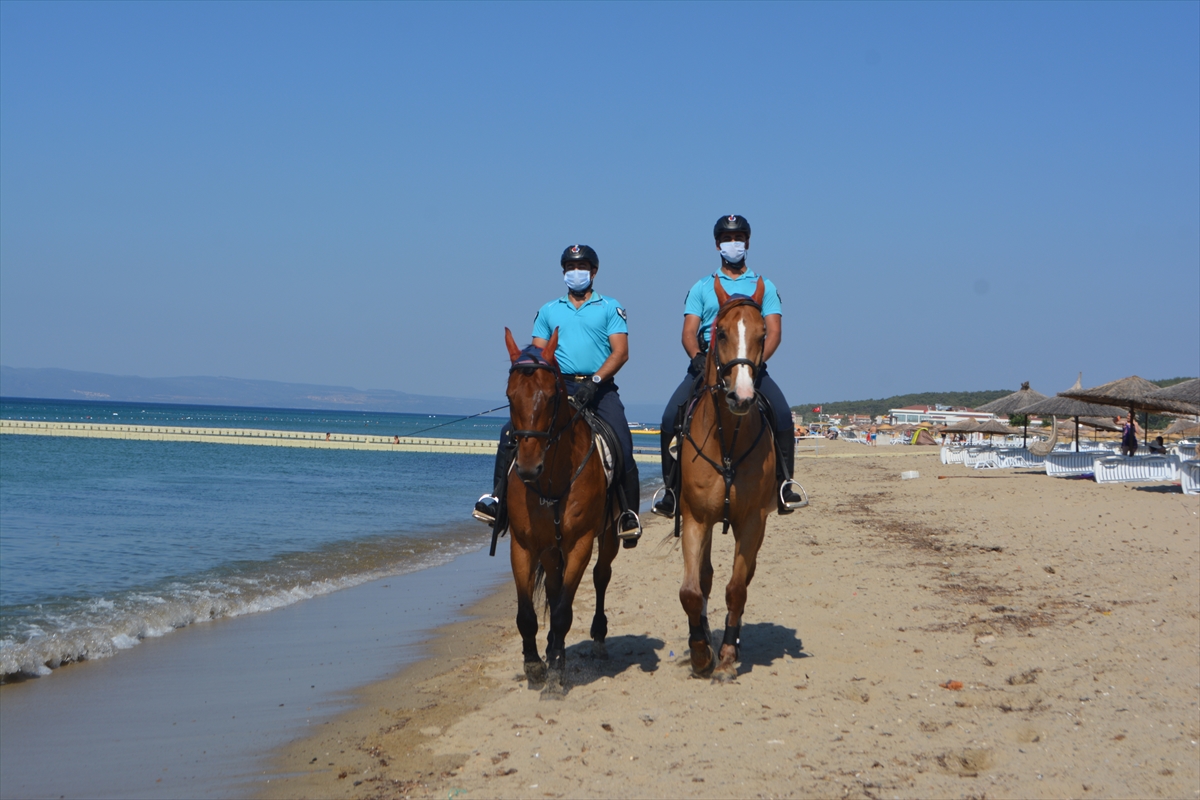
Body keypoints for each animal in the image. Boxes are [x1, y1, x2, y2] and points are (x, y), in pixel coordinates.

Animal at [501, 326, 624, 695]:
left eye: (552, 397)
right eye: (510, 396)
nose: (528, 468)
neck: (552, 481)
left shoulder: (580, 543)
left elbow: (562, 612)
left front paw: (555, 672)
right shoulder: (524, 545)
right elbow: (527, 613)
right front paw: (534, 664)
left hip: (608, 537)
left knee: (601, 576)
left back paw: (597, 638)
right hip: (550, 550)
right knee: (555, 588)